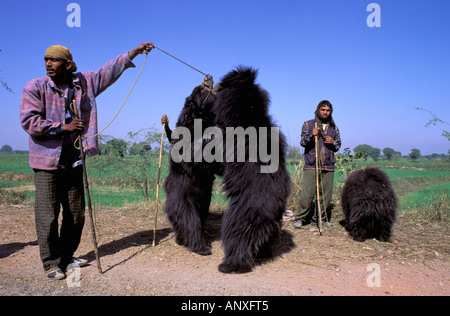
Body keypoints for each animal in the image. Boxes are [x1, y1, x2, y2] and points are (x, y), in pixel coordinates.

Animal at [164, 65, 292, 272]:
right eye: (200, 89)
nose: (208, 77)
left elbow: (205, 150)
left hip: (243, 210)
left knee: (235, 233)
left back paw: (226, 262)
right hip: (187, 195)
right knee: (191, 219)